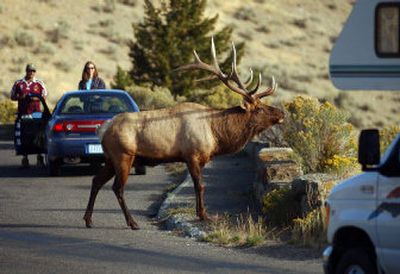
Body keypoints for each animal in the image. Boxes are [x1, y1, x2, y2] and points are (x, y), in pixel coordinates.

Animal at [83, 37, 284, 229]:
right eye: (260, 108)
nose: (281, 113)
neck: (216, 134)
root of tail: (103, 129)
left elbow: (198, 185)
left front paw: (199, 213)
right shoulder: (192, 154)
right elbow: (200, 185)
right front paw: (204, 215)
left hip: (110, 159)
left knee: (96, 181)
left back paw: (88, 219)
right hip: (123, 155)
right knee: (117, 188)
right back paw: (132, 222)